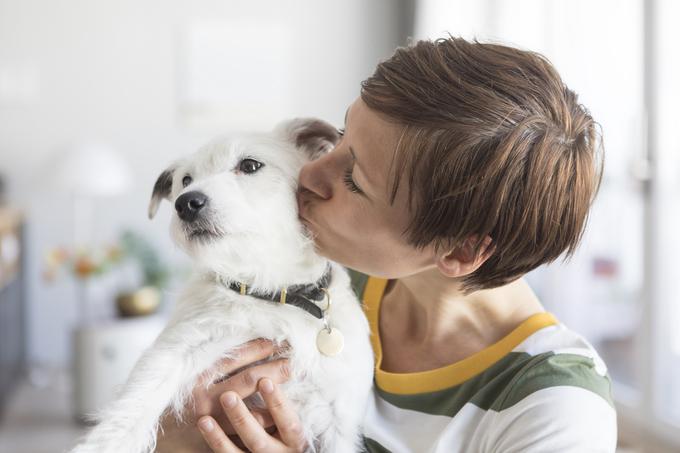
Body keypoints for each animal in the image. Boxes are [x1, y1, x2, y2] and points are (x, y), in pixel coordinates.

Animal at [70, 118, 372, 450]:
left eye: (250, 165)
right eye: (185, 179)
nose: (186, 203)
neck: (268, 291)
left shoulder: (339, 417)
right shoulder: (179, 347)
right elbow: (136, 402)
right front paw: (104, 445)